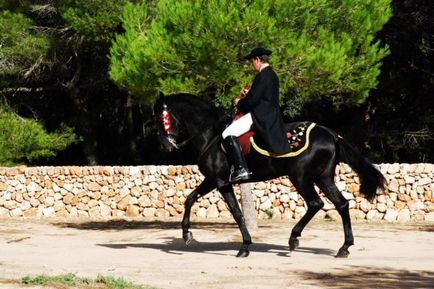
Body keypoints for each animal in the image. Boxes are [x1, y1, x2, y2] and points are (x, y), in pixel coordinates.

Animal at [154, 93, 384, 258]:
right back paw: (344, 247)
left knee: (315, 203)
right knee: (341, 204)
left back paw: (294, 239)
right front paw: (186, 234)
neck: (211, 135)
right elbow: (190, 198)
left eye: (161, 117)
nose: (165, 145)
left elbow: (236, 213)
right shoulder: (212, 180)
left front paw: (245, 247)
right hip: (323, 178)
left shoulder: (221, 182)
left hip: (301, 177)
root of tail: (332, 134)